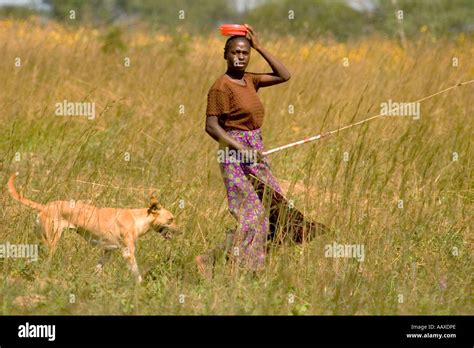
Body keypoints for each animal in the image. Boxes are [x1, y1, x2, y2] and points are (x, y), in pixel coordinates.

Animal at [7, 172, 178, 282]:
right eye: (171, 219)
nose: (180, 231)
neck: (137, 218)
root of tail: (46, 206)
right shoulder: (128, 253)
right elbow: (136, 274)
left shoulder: (107, 252)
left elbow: (97, 268)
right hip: (52, 243)